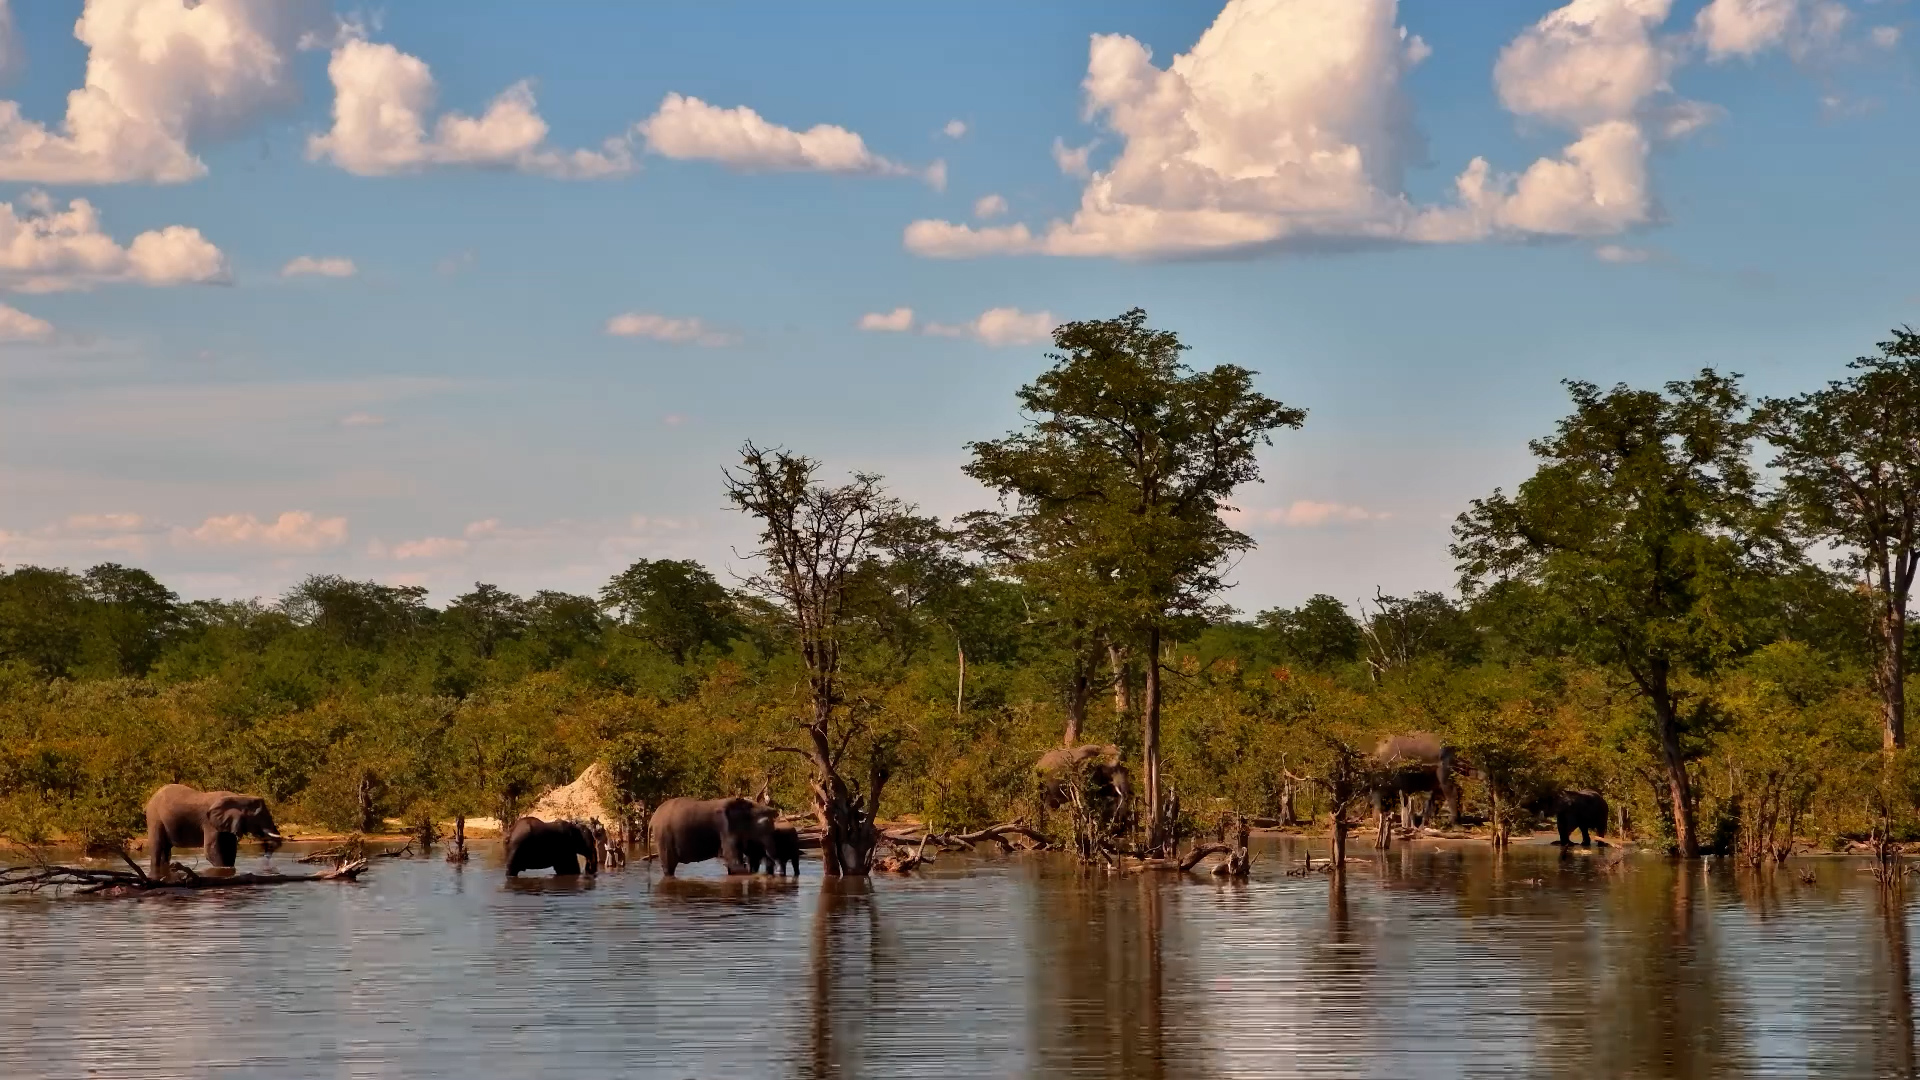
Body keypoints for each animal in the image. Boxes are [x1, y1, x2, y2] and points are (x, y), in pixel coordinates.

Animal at [144, 783, 283, 879]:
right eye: (259, 816)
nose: (266, 864)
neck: (239, 797)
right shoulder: (209, 823)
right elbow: (211, 851)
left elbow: (230, 850)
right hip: (154, 817)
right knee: (157, 847)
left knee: (166, 850)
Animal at [649, 797, 778, 877]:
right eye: (765, 829)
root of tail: (651, 820)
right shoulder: (725, 828)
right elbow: (734, 862)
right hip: (664, 836)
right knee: (669, 867)